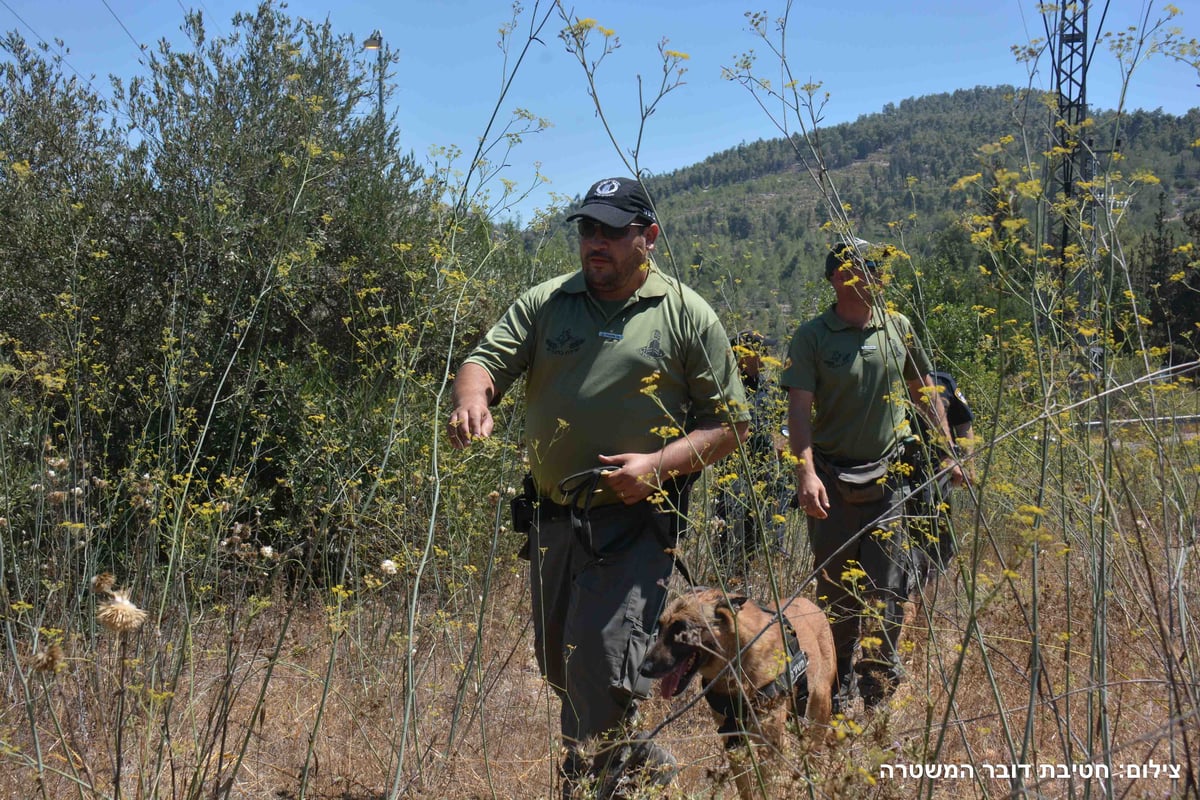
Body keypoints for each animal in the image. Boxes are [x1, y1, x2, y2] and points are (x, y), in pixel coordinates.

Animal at [638, 585, 835, 796]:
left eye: (682, 630)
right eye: (660, 627)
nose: (643, 669)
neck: (737, 660)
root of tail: (810, 603)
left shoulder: (771, 746)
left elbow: (768, 789)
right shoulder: (734, 742)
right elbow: (746, 789)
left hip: (819, 713)